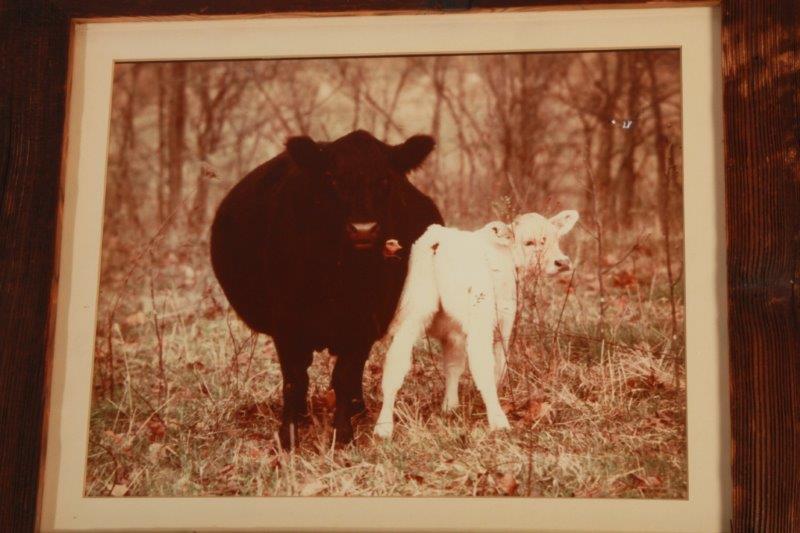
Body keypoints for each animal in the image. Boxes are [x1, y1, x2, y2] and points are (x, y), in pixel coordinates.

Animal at [210, 130, 443, 447]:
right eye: (331, 177)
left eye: (385, 179)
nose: (363, 229)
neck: (338, 276)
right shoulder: (287, 322)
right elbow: (295, 379)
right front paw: (289, 434)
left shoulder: (364, 322)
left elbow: (344, 375)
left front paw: (342, 433)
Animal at [373, 210, 579, 439]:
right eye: (529, 242)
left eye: (555, 238)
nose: (562, 262)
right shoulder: (493, 321)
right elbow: (491, 365)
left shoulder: (479, 327)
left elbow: (476, 365)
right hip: (440, 314)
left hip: (431, 317)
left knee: (423, 362)